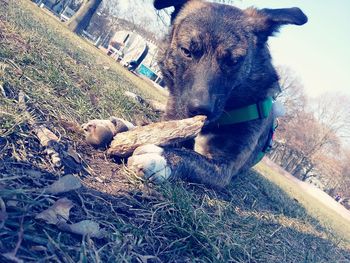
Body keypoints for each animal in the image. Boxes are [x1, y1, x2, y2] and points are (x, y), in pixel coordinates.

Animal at [128, 0, 306, 190]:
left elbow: (191, 157)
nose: (200, 109)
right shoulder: (174, 118)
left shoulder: (224, 168)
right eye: (186, 51)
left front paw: (161, 158)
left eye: (233, 61)